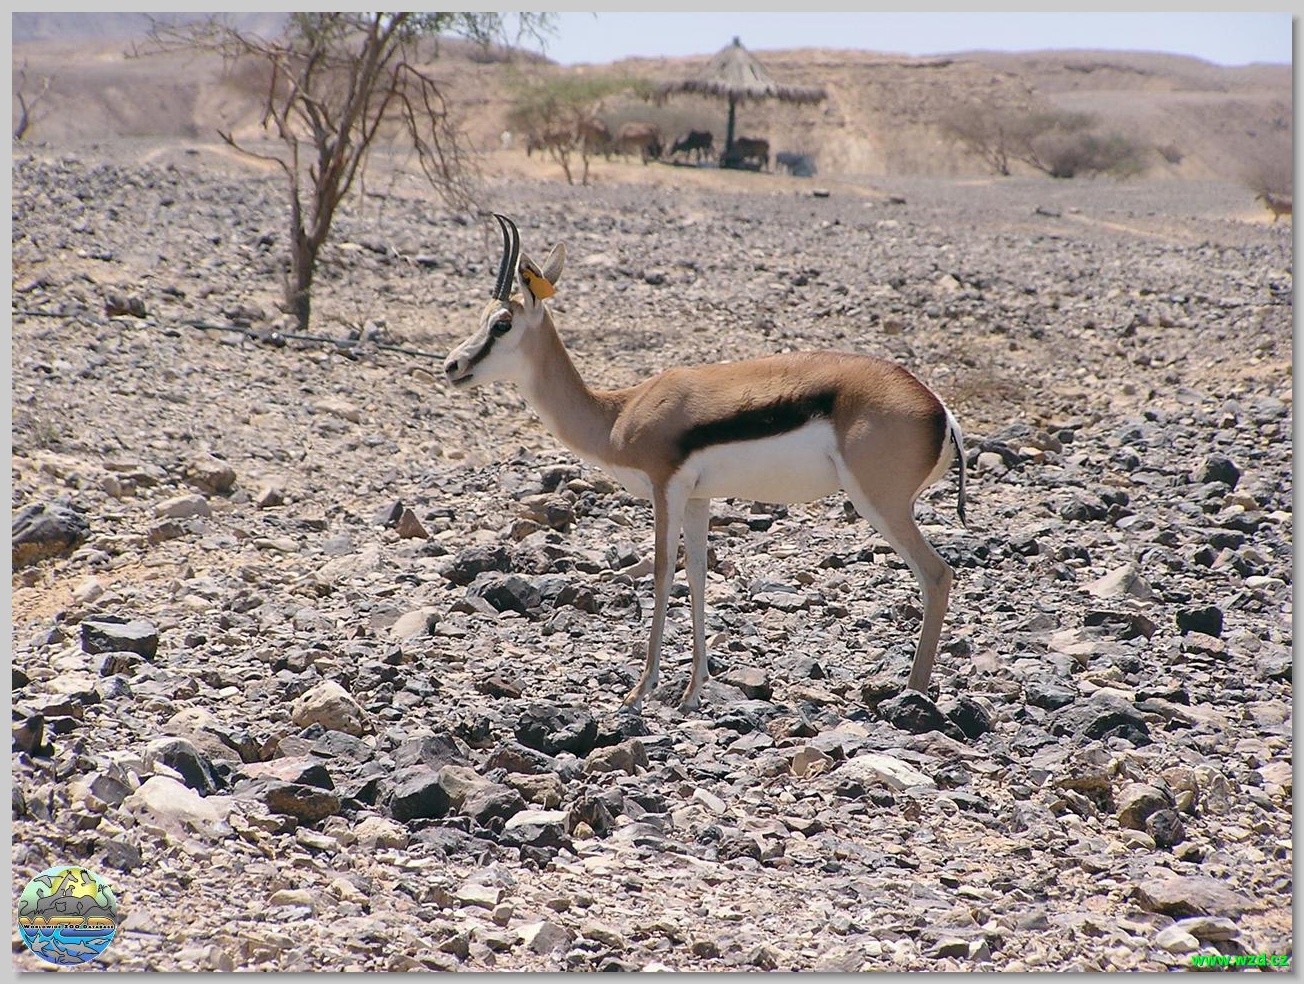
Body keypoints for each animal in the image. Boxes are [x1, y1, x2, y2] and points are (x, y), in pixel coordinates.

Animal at [444, 215, 967, 712]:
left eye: (502, 324)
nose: (452, 366)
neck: (618, 414)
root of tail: (940, 409)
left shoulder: (665, 489)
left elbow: (661, 574)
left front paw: (640, 691)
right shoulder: (698, 498)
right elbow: (696, 576)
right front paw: (694, 691)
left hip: (880, 503)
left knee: (937, 575)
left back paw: (912, 694)